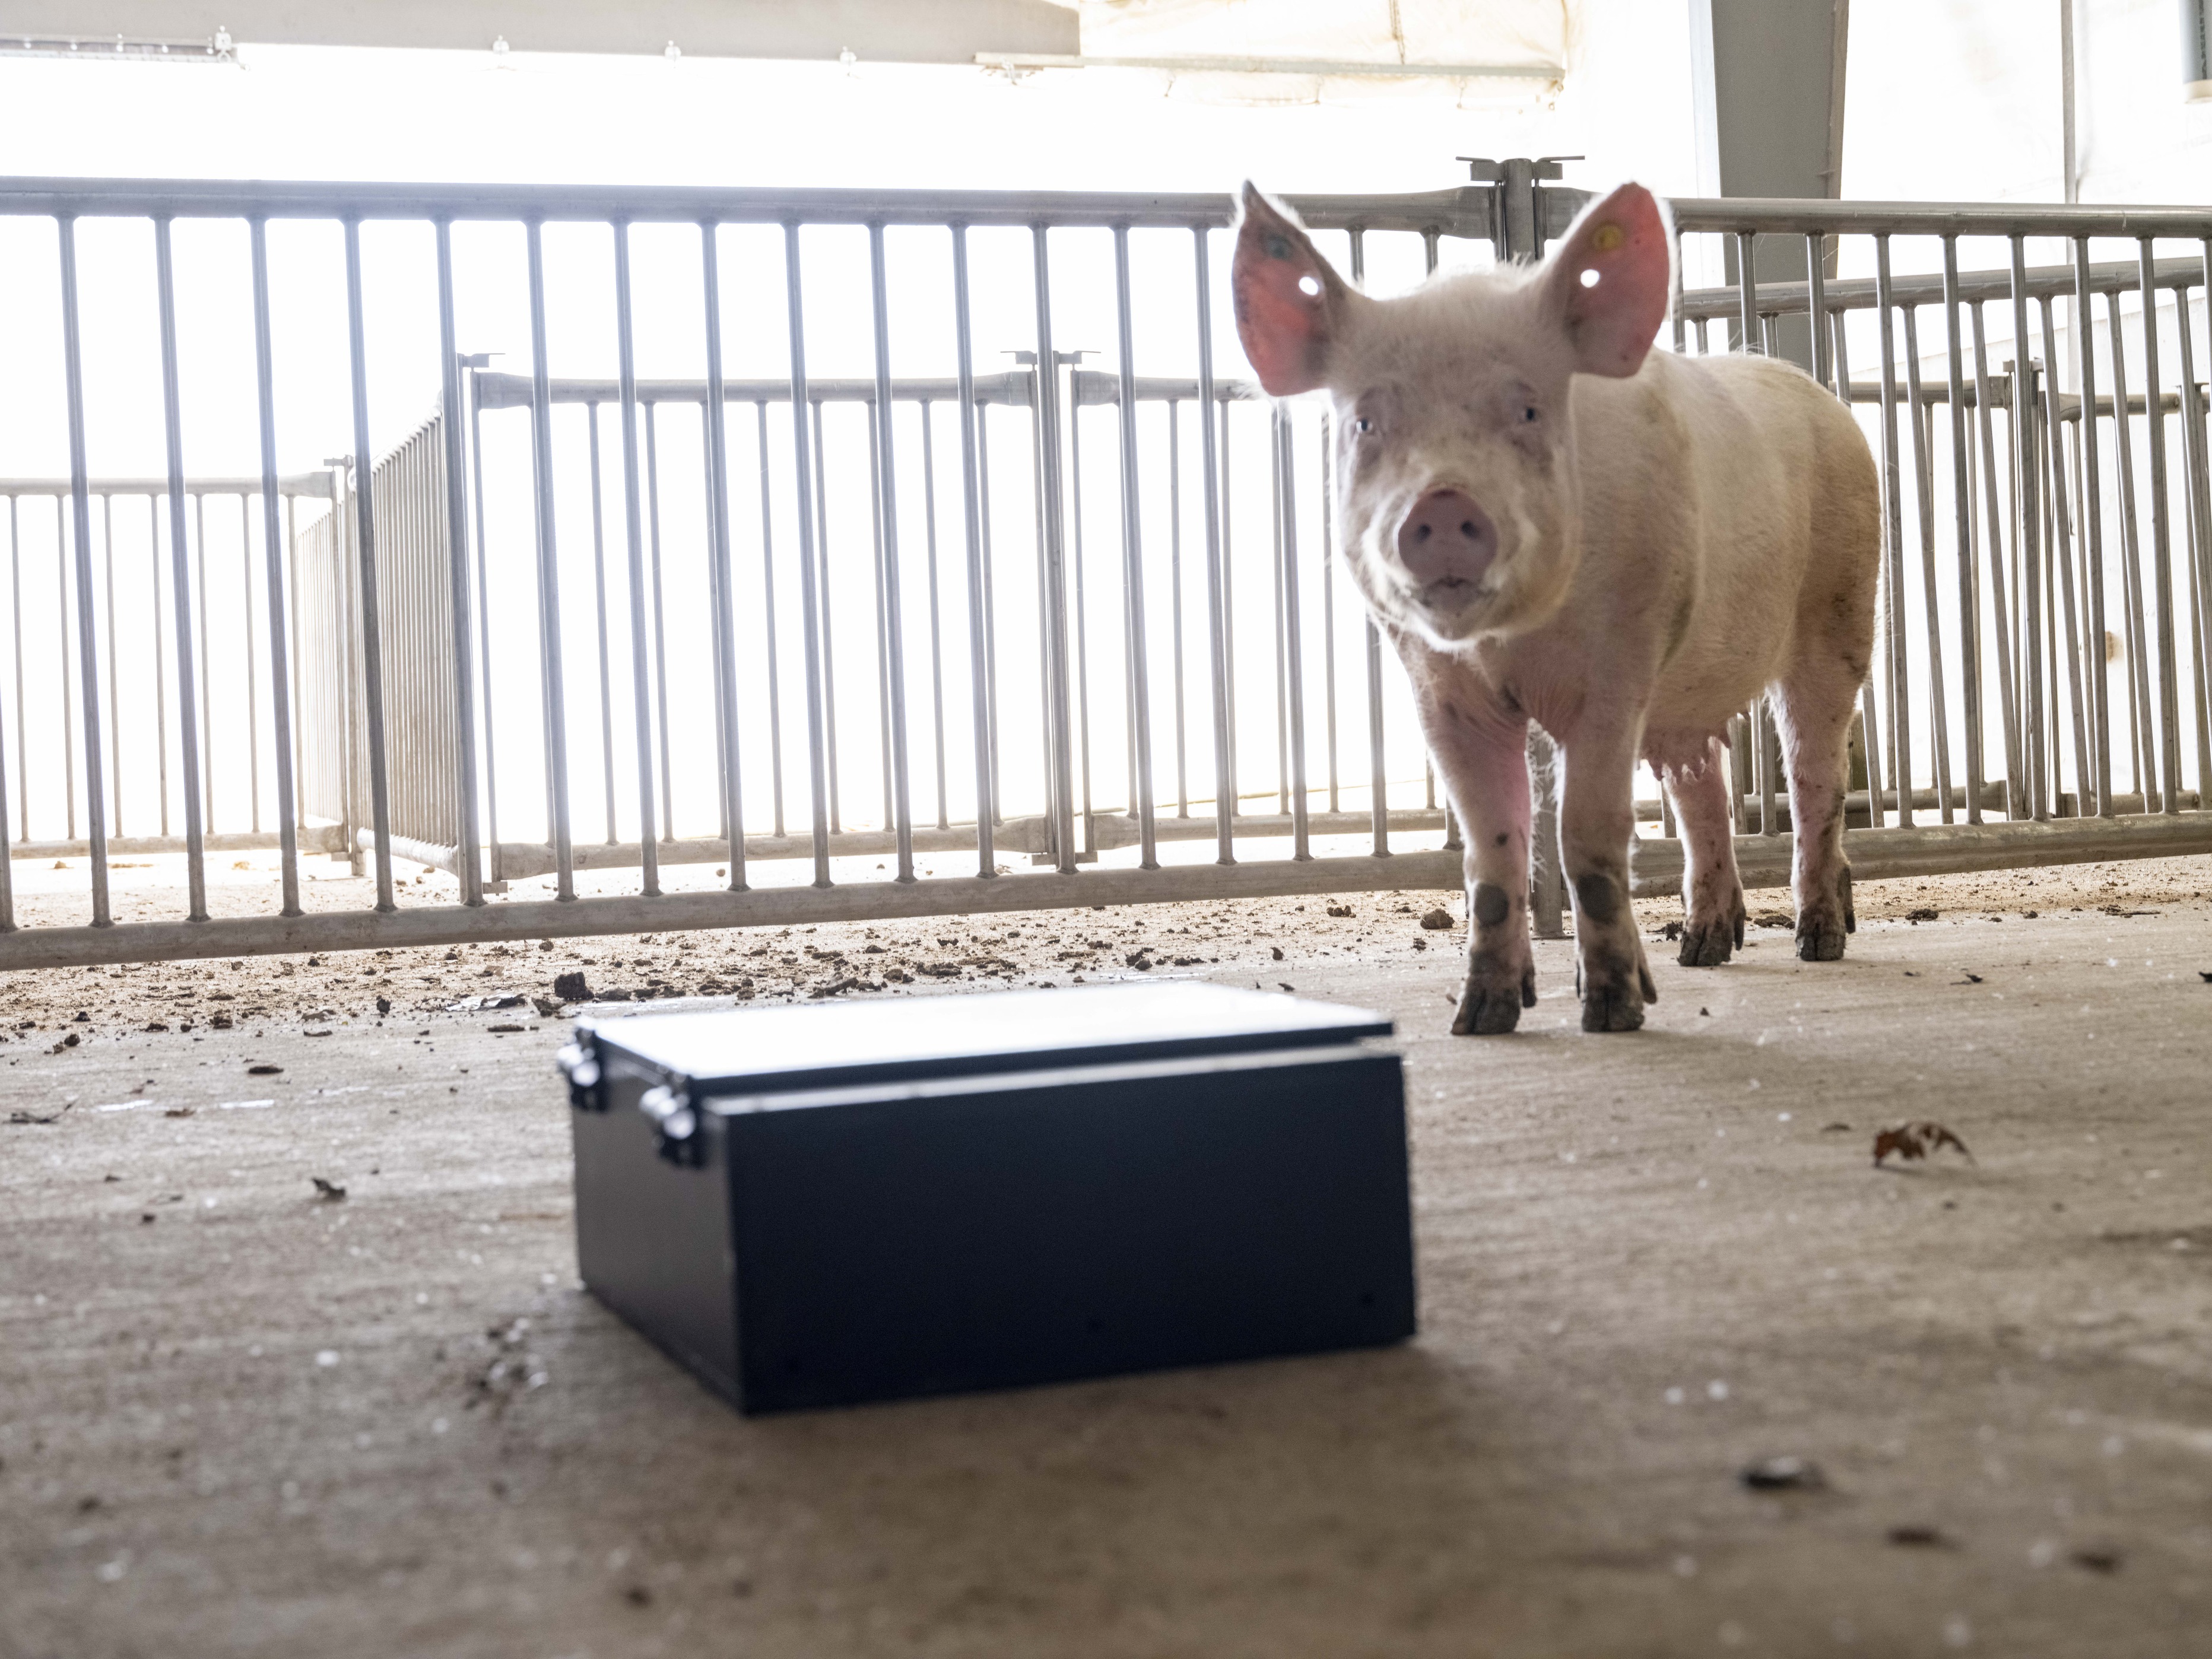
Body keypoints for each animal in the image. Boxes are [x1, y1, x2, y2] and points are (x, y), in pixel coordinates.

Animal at [1231, 181, 1880, 1034]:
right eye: (1367, 421)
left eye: (1530, 412)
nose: (1442, 502)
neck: (1509, 641)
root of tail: (1827, 402)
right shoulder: (1439, 686)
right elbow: (1492, 848)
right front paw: (1481, 1020)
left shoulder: (1621, 662)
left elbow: (1587, 841)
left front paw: (1611, 1013)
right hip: (1693, 689)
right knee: (1702, 788)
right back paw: (1702, 950)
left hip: (1841, 606)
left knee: (1815, 774)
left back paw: (1818, 940)